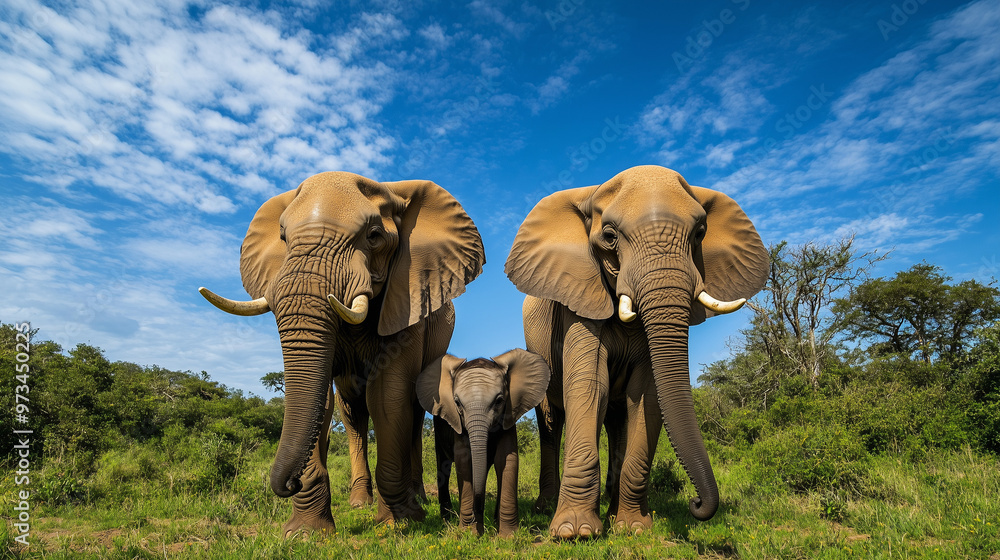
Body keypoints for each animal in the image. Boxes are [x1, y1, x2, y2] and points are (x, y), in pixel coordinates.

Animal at [199, 171, 485, 535]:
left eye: (374, 236)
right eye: (283, 237)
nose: (289, 483)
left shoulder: (407, 298)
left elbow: (387, 396)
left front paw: (400, 523)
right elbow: (321, 399)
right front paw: (305, 533)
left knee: (411, 413)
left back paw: (417, 498)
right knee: (352, 414)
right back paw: (360, 502)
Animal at [417, 349, 550, 536]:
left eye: (499, 401)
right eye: (457, 403)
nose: (481, 528)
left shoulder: (508, 417)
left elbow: (507, 460)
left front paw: (508, 536)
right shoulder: (458, 424)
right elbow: (464, 462)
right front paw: (469, 534)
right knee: (443, 465)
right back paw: (448, 519)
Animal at [504, 165, 768, 538]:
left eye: (700, 233)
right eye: (610, 236)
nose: (697, 504)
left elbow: (646, 394)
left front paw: (633, 529)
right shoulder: (580, 299)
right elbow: (590, 386)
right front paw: (574, 533)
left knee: (617, 420)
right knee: (552, 421)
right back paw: (546, 508)